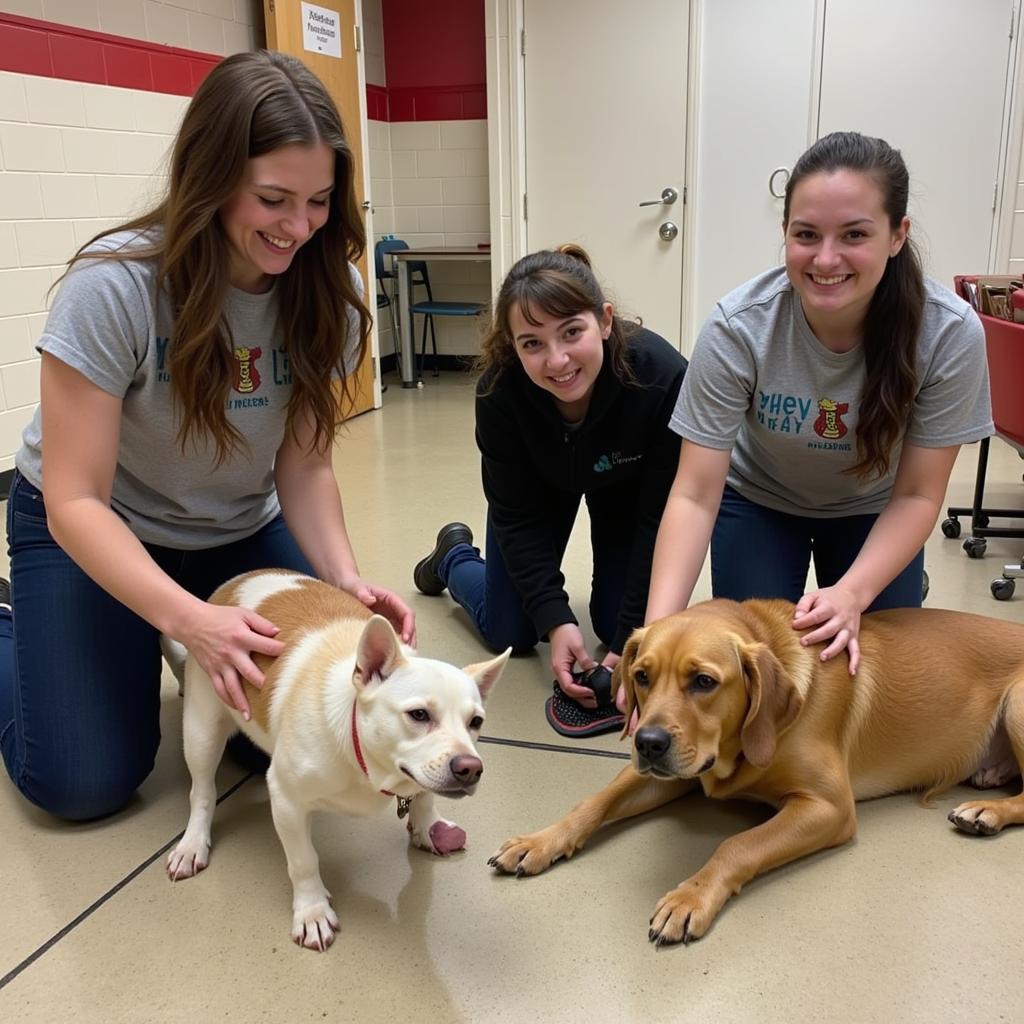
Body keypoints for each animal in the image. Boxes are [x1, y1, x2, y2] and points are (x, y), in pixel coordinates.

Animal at [162, 569, 507, 950]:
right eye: (418, 715)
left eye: (476, 722)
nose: (470, 768)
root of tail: (234, 583)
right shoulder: (287, 801)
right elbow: (303, 860)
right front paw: (311, 910)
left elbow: (424, 795)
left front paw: (428, 825)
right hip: (203, 730)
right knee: (202, 791)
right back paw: (193, 842)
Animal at [487, 598, 1024, 942]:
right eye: (641, 676)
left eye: (704, 682)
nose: (648, 743)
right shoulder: (674, 774)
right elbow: (593, 802)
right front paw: (540, 841)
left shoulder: (828, 806)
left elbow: (737, 845)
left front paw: (690, 898)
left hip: (1019, 703)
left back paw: (986, 812)